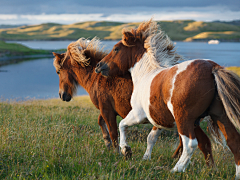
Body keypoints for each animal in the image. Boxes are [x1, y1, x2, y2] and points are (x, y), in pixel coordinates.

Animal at [52, 37, 183, 158]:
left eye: (58, 71)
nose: (62, 95)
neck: (97, 78)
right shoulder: (107, 109)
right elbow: (101, 122)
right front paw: (108, 143)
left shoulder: (107, 110)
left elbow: (113, 132)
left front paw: (117, 152)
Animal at [95, 19, 240, 178]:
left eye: (116, 49)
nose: (98, 66)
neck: (145, 75)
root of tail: (212, 67)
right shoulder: (158, 119)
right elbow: (151, 138)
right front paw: (145, 158)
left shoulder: (138, 114)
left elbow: (122, 125)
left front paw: (126, 150)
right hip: (219, 116)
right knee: (233, 141)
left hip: (184, 118)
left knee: (190, 144)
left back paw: (176, 169)